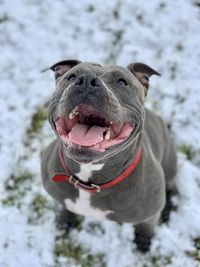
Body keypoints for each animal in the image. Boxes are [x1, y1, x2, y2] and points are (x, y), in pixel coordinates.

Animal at [41, 59, 177, 252]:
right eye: (71, 77)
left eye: (122, 82)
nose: (86, 81)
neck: (89, 183)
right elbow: (66, 207)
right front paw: (65, 221)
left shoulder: (149, 215)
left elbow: (146, 227)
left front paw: (144, 242)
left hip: (170, 165)